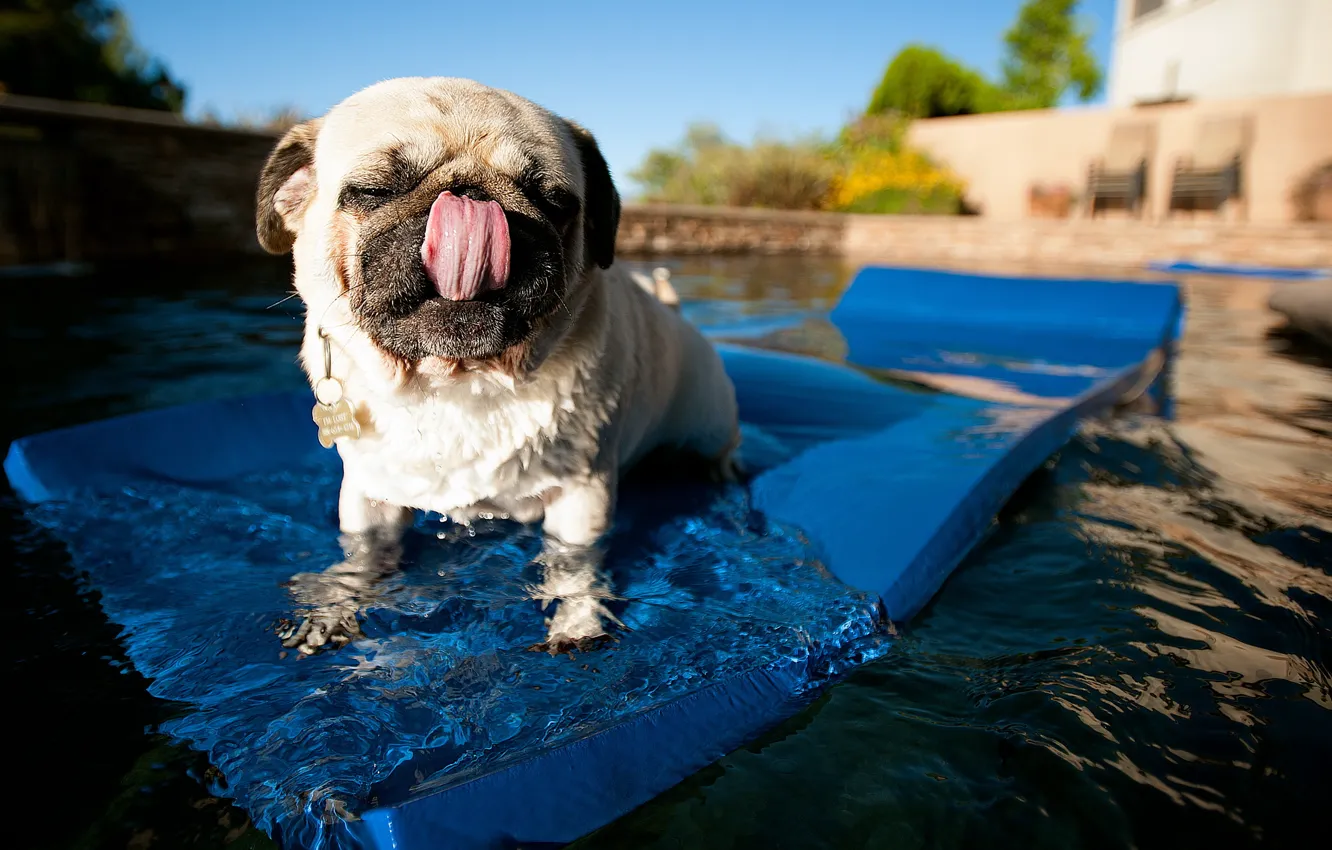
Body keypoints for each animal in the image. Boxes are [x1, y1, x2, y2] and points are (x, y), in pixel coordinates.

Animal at [254, 76, 745, 655]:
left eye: (554, 202)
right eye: (374, 191)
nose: (470, 196)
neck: (456, 381)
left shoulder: (583, 499)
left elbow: (573, 567)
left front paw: (578, 623)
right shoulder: (368, 495)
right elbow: (362, 555)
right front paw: (333, 605)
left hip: (709, 420)